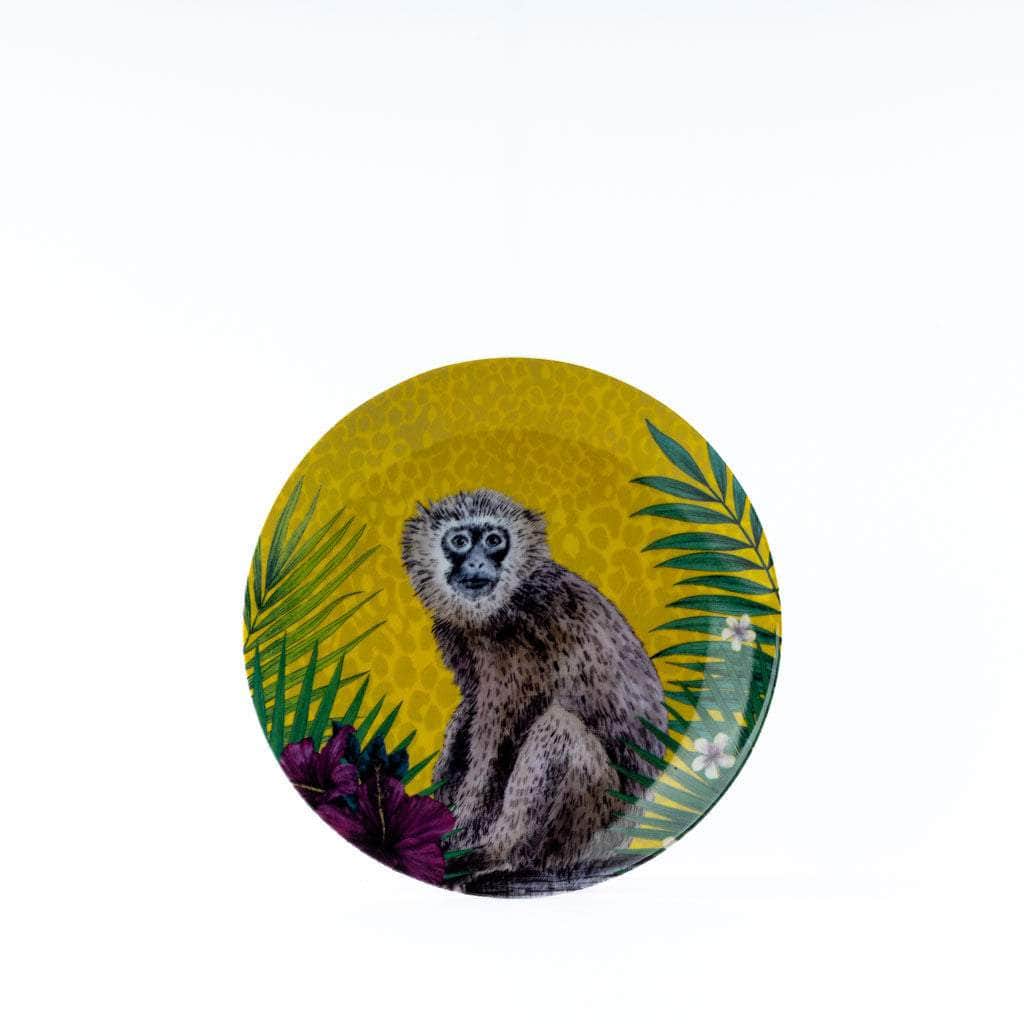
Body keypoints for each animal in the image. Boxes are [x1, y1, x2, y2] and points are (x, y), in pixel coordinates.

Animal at [401, 488, 666, 895]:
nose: (476, 563)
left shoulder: (520, 637)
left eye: (494, 540)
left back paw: (497, 855)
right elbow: (471, 712)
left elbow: (495, 742)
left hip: (590, 825)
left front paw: (458, 837)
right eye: (459, 541)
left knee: (558, 728)